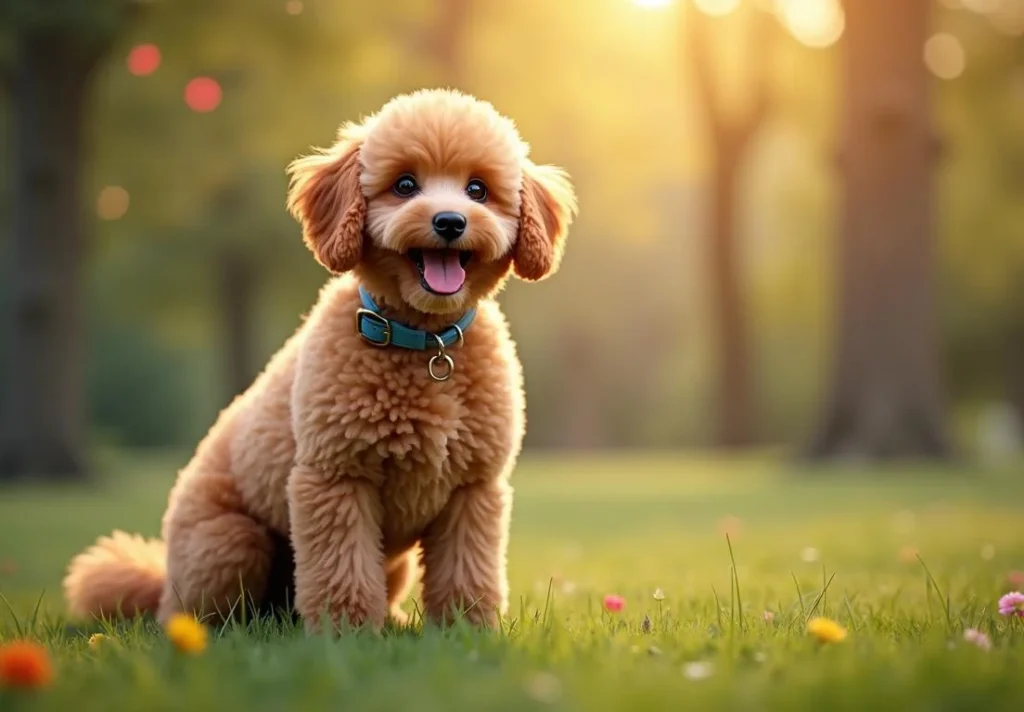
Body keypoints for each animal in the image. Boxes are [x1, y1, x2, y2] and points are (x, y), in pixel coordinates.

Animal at [61, 86, 577, 631]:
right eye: (405, 185)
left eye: (477, 190)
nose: (450, 221)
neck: (425, 343)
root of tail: (162, 581)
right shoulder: (335, 477)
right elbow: (340, 567)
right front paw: (345, 632)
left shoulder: (472, 490)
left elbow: (467, 569)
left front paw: (464, 628)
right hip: (230, 542)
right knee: (195, 616)